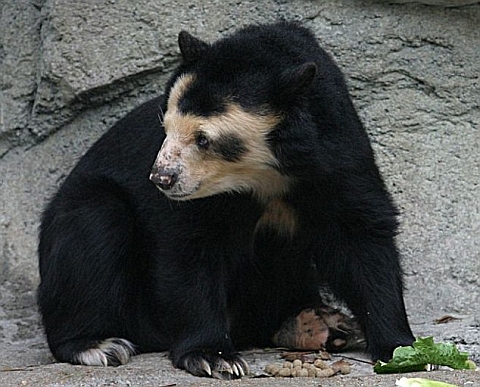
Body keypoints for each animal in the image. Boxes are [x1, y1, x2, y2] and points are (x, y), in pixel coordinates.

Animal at [38, 21, 412, 378]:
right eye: (166, 127)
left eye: (203, 139)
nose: (161, 178)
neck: (263, 173)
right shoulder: (202, 196)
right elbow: (190, 249)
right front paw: (213, 356)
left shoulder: (335, 156)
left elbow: (361, 237)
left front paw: (399, 348)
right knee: (95, 227)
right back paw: (97, 344)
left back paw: (318, 325)